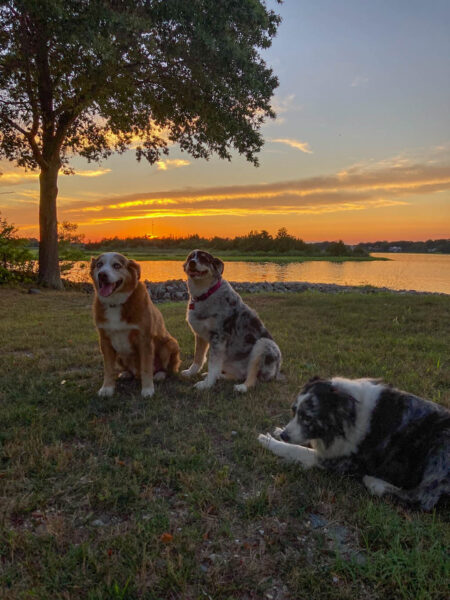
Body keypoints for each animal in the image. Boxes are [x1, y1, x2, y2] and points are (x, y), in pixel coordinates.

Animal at [180, 250, 282, 394]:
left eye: (203, 258)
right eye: (190, 258)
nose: (192, 263)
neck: (205, 294)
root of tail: (277, 372)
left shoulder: (218, 337)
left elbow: (212, 364)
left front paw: (206, 384)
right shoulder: (200, 335)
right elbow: (198, 357)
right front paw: (190, 372)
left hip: (264, 344)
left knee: (252, 377)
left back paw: (242, 387)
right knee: (237, 375)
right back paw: (220, 376)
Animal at [258, 378, 448, 508]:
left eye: (307, 418)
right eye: (294, 411)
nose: (284, 435)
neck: (347, 414)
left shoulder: (339, 462)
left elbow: (296, 449)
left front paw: (269, 441)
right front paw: (278, 431)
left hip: (439, 448)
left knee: (423, 498)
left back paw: (375, 484)